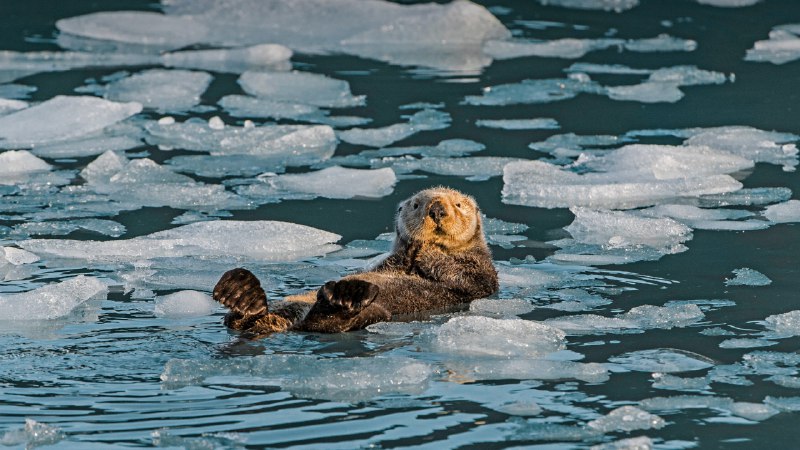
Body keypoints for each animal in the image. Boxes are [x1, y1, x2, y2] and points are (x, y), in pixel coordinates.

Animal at [212, 187, 499, 334]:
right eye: (417, 205)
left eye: (458, 205)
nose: (437, 209)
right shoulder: (387, 263)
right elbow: (394, 261)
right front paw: (415, 247)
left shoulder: (481, 275)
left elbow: (460, 272)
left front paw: (427, 250)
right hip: (290, 305)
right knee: (240, 321)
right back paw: (240, 292)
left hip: (373, 313)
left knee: (325, 323)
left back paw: (345, 297)